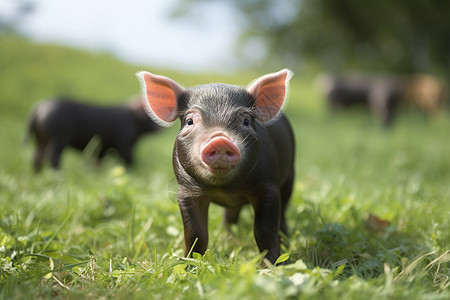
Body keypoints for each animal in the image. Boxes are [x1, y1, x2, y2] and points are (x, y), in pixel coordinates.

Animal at [24, 97, 162, 172]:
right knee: (52, 156)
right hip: (59, 137)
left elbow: (97, 162)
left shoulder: (102, 150)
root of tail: (39, 107)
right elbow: (129, 159)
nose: (161, 128)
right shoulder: (124, 142)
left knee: (37, 155)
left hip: (41, 138)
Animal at [139, 69, 298, 264]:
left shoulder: (268, 187)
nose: (220, 140)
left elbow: (264, 230)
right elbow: (195, 233)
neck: (226, 190)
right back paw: (229, 238)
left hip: (289, 177)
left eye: (246, 121)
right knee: (230, 216)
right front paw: (189, 264)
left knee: (283, 213)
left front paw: (270, 266)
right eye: (190, 121)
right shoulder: (186, 191)